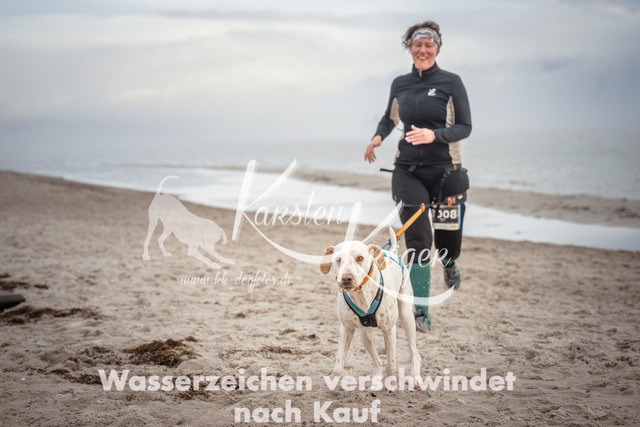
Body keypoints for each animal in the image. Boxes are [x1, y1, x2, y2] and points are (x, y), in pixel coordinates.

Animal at [320, 231, 420, 381]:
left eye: (359, 258)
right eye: (338, 259)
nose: (346, 278)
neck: (362, 294)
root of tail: (392, 252)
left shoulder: (390, 329)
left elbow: (391, 365)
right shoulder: (350, 329)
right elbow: (338, 368)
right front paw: (348, 371)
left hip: (406, 315)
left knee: (414, 351)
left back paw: (415, 376)